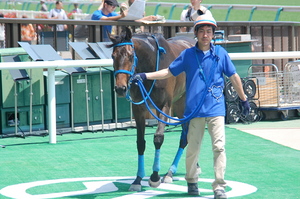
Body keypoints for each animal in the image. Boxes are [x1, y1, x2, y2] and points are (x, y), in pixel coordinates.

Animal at [106, 26, 196, 191]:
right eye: (113, 55)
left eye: (130, 55)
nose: (120, 88)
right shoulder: (139, 109)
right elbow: (140, 142)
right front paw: (137, 179)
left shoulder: (164, 106)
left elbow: (158, 138)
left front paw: (154, 177)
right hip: (179, 104)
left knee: (185, 137)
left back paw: (170, 173)